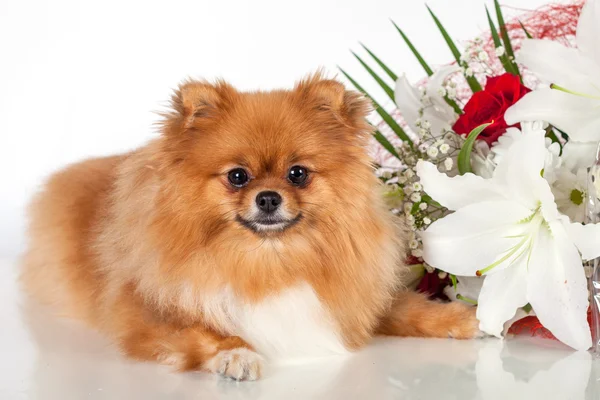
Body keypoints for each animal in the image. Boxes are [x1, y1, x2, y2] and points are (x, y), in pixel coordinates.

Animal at [22, 74, 478, 382]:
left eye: (297, 174)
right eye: (238, 177)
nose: (269, 198)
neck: (269, 258)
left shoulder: (354, 296)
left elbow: (408, 307)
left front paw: (462, 318)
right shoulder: (144, 318)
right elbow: (201, 331)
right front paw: (236, 355)